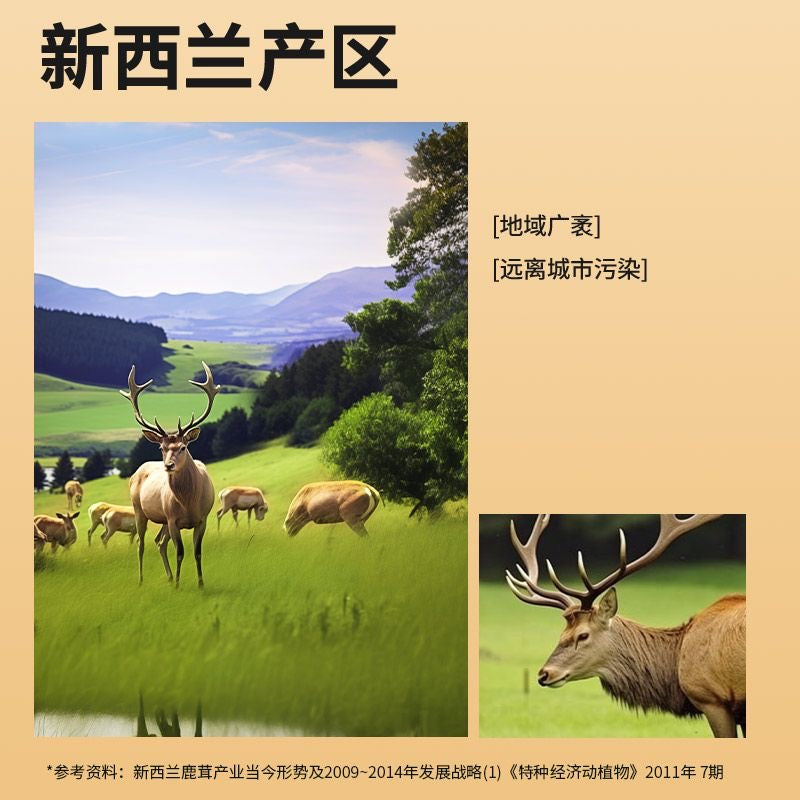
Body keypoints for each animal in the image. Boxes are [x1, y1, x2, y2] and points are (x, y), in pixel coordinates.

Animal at [120, 362, 219, 589]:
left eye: (183, 447)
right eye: (161, 448)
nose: (168, 465)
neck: (190, 502)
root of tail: (136, 472)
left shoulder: (202, 518)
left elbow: (197, 552)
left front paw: (200, 583)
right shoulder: (173, 520)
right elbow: (180, 552)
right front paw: (179, 585)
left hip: (163, 519)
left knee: (159, 541)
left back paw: (169, 576)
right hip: (139, 510)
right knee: (141, 543)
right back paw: (142, 579)